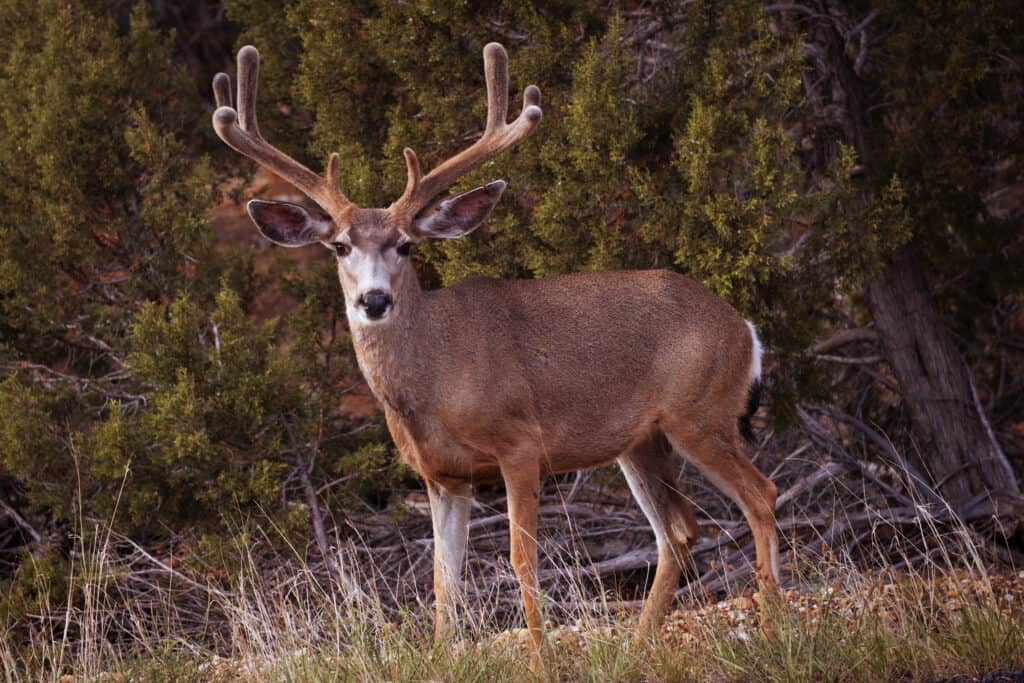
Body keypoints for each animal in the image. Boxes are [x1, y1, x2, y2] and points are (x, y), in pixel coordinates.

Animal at [211, 41, 778, 667]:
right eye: (338, 245)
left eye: (406, 246)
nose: (374, 299)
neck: (435, 378)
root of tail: (744, 328)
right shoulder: (441, 475)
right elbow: (444, 578)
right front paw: (442, 658)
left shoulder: (520, 443)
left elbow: (519, 558)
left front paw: (541, 661)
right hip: (641, 441)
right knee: (677, 531)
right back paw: (635, 648)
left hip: (700, 412)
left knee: (761, 496)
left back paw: (776, 626)